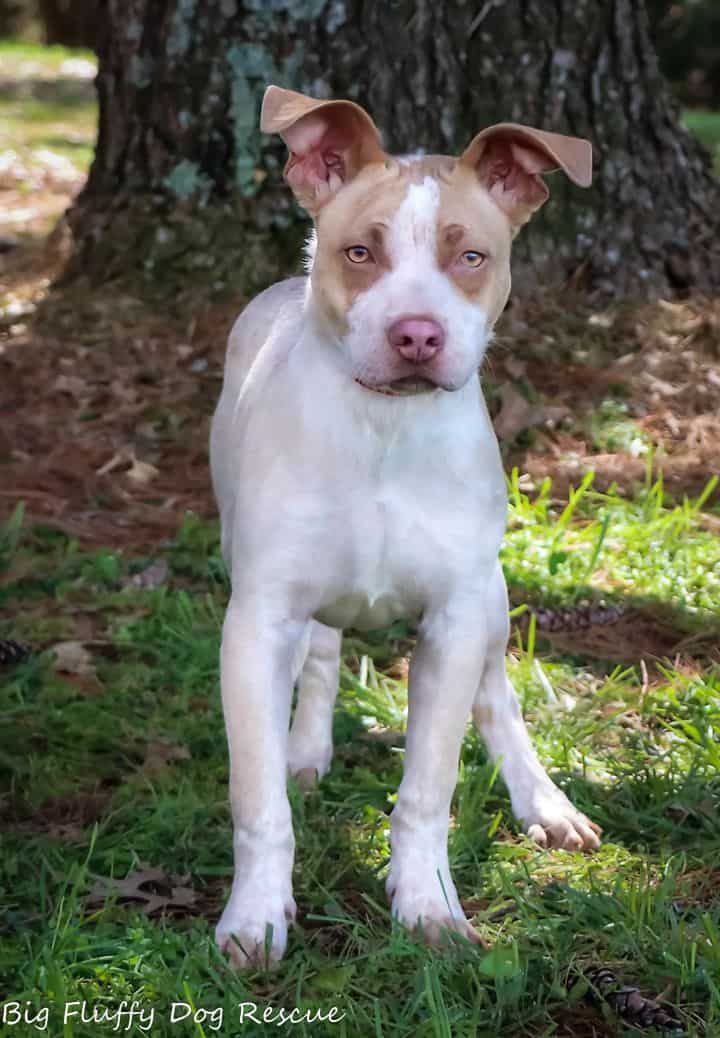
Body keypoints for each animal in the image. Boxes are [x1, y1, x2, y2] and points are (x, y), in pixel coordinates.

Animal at [210, 85, 601, 967]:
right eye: (360, 252)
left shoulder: (455, 622)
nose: (417, 333)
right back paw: (306, 749)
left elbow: (428, 789)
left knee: (499, 699)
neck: (385, 429)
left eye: (472, 257)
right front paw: (254, 917)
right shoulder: (256, 621)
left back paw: (544, 802)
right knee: (321, 656)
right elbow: (258, 800)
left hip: (491, 601)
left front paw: (427, 907)